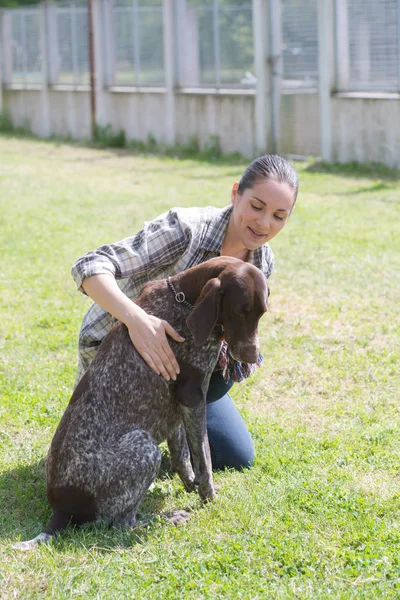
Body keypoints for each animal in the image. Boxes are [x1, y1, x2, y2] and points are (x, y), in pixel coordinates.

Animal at [14, 255, 268, 552]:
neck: (184, 301)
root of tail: (60, 511)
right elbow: (203, 459)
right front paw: (209, 498)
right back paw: (166, 518)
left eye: (261, 313)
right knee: (121, 524)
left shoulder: (177, 406)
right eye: (239, 311)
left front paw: (191, 486)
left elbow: (183, 457)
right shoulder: (193, 396)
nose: (252, 356)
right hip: (145, 448)